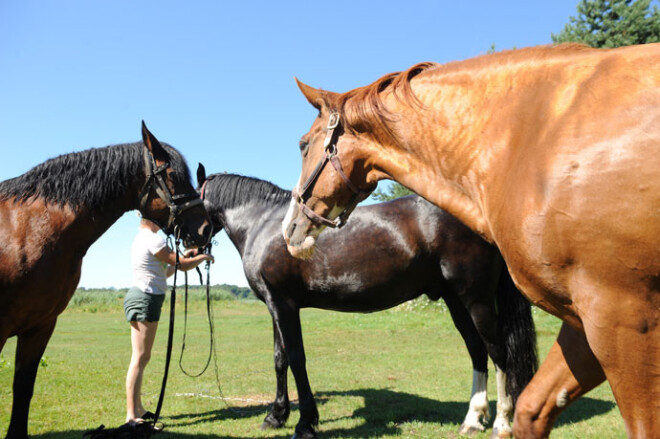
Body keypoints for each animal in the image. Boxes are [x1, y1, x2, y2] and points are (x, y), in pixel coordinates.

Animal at [199, 165, 540, 439]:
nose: (192, 242)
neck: (266, 223)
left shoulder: (284, 305)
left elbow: (296, 359)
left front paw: (305, 423)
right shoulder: (275, 306)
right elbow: (279, 359)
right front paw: (275, 416)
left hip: (476, 299)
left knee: (499, 353)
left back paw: (501, 424)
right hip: (457, 301)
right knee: (477, 351)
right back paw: (472, 419)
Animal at [282, 43, 660, 438]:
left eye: (303, 144)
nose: (290, 229)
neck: (529, 138)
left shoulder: (621, 318)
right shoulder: (585, 324)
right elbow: (533, 407)